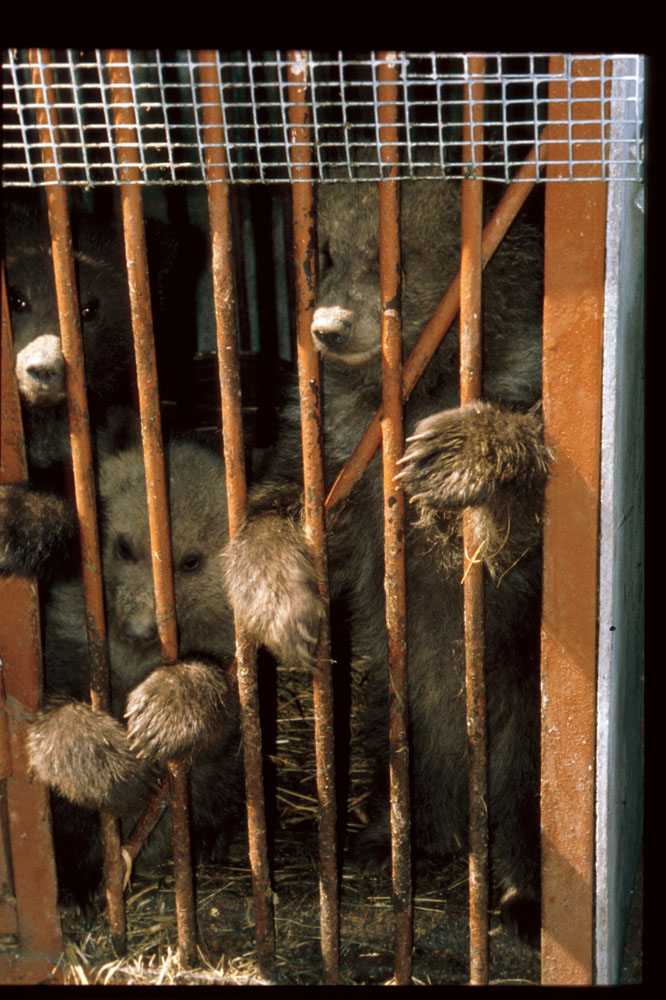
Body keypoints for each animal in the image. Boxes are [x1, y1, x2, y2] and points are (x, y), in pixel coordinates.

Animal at [27, 438, 244, 908]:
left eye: (191, 561)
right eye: (124, 547)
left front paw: (165, 712)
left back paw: (212, 838)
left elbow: (225, 724)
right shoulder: (68, 638)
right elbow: (48, 708)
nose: (139, 627)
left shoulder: (230, 643)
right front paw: (111, 765)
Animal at [226, 178, 548, 944]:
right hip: (404, 701)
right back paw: (394, 835)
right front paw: (282, 605)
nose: (329, 326)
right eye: (324, 250)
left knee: (525, 776)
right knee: (412, 740)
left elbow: (521, 518)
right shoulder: (342, 457)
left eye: (394, 256)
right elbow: (286, 508)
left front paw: (466, 450)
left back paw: (522, 891)